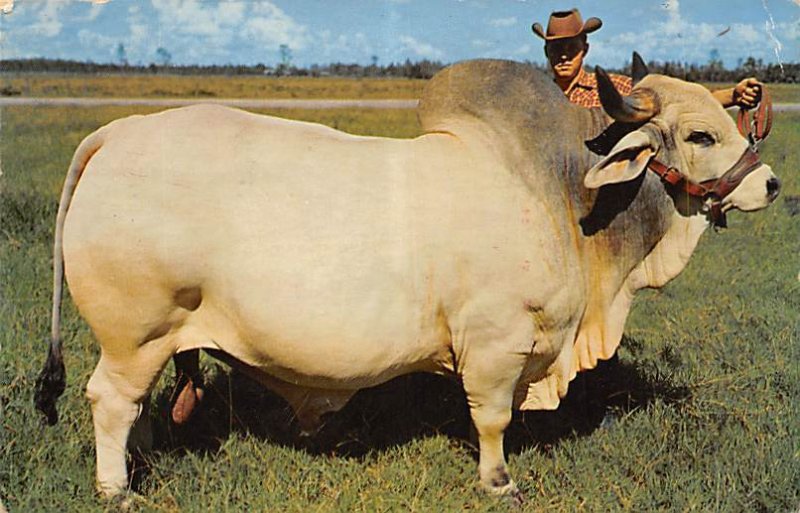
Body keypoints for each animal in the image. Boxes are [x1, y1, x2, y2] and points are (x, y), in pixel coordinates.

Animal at [34, 57, 780, 500]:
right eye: (701, 135)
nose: (771, 182)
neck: (558, 192)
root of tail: (120, 132)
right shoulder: (495, 343)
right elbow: (491, 418)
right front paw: (498, 482)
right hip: (136, 332)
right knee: (109, 400)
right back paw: (116, 488)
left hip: (155, 340)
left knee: (136, 407)